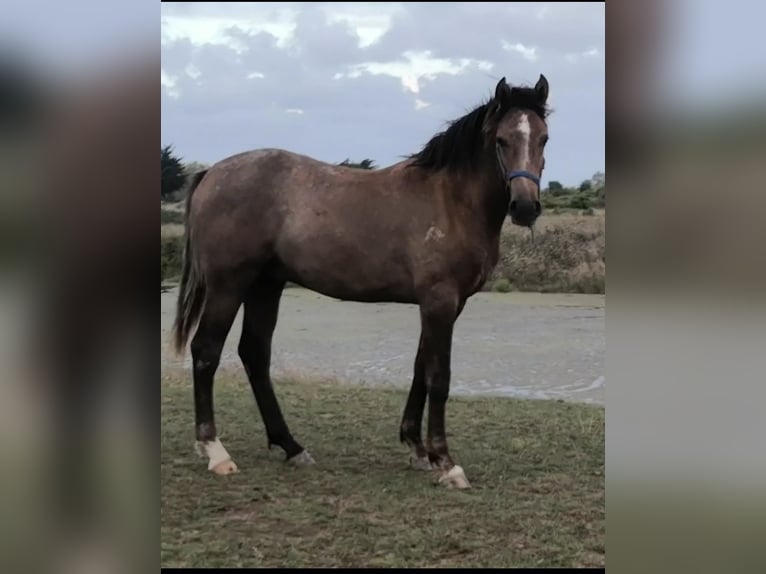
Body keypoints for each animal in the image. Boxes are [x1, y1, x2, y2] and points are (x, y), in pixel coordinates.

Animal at [174, 75, 552, 490]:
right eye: (501, 140)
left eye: (543, 138)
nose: (525, 207)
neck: (451, 201)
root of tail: (211, 173)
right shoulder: (440, 300)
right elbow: (439, 376)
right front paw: (446, 462)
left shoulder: (444, 305)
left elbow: (420, 368)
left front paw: (417, 449)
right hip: (228, 286)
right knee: (206, 351)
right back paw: (215, 451)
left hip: (265, 286)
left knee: (255, 354)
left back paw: (291, 446)